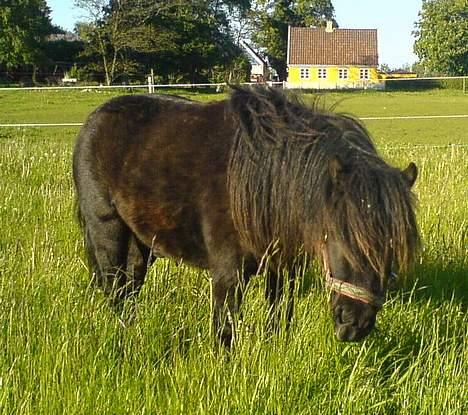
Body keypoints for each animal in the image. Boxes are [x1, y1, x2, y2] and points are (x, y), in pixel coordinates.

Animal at [73, 87, 420, 348]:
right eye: (343, 238)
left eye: (394, 247)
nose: (355, 324)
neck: (265, 178)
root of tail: (94, 118)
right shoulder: (229, 274)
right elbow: (224, 332)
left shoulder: (284, 269)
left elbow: (279, 317)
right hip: (107, 231)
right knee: (114, 289)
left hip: (142, 241)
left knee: (130, 285)